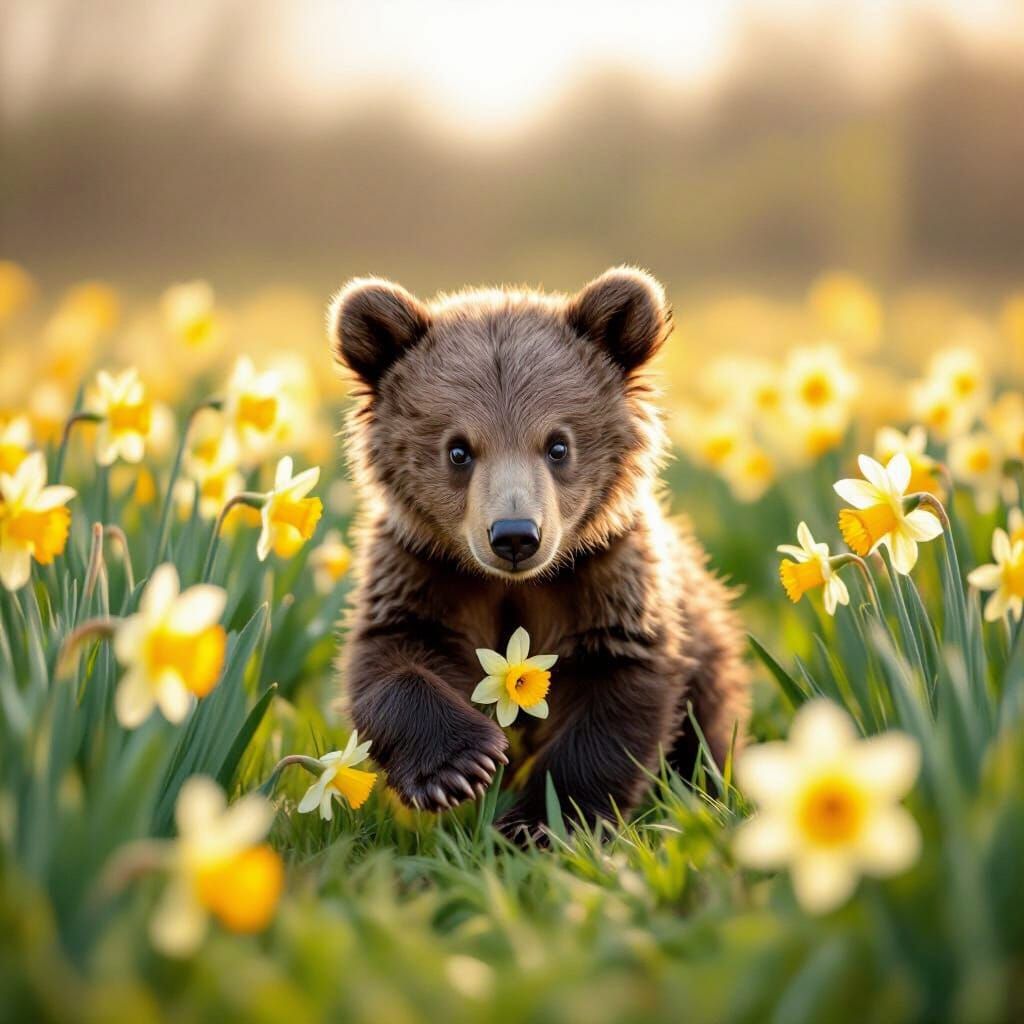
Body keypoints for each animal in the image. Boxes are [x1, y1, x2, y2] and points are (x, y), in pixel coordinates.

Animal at [328, 267, 749, 838]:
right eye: (458, 449)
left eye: (558, 445)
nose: (514, 535)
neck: (517, 585)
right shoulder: (425, 570)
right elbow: (391, 657)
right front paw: (459, 767)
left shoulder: (605, 580)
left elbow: (613, 700)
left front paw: (542, 822)